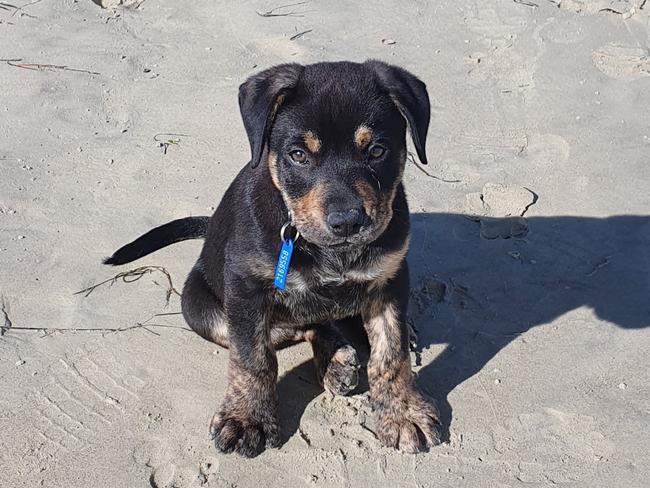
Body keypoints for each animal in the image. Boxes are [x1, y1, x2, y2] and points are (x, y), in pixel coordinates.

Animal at [106, 61, 440, 458]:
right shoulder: (245, 287)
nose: (347, 222)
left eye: (377, 150)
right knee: (295, 327)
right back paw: (336, 361)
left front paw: (403, 413)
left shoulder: (390, 277)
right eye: (298, 155)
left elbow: (391, 353)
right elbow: (253, 357)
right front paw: (246, 418)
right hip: (199, 306)